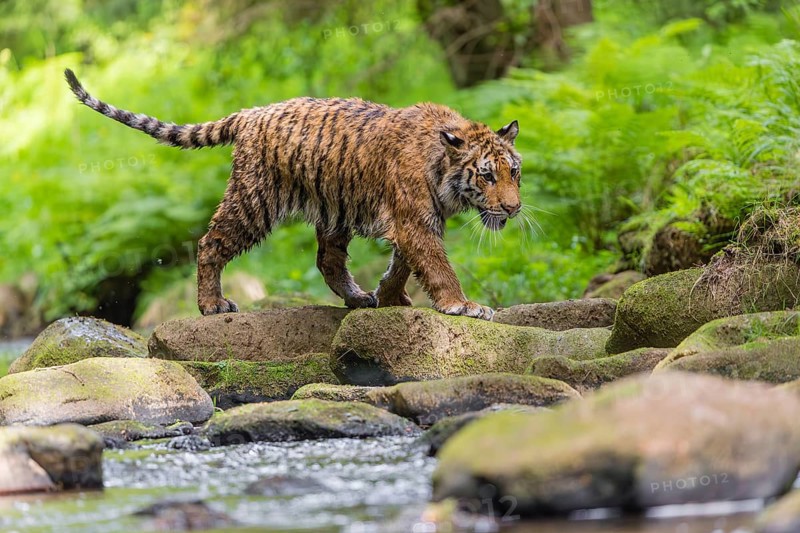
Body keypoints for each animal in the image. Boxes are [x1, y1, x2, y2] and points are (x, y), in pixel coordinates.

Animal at [64, 68, 522, 321]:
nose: (514, 208)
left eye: (514, 172)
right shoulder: (415, 222)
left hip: (335, 210)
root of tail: (249, 113)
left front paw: (390, 297)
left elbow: (403, 265)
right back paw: (212, 305)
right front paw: (463, 305)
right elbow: (437, 266)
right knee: (209, 243)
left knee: (327, 261)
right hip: (253, 202)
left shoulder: (416, 222)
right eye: (486, 176)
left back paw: (358, 297)